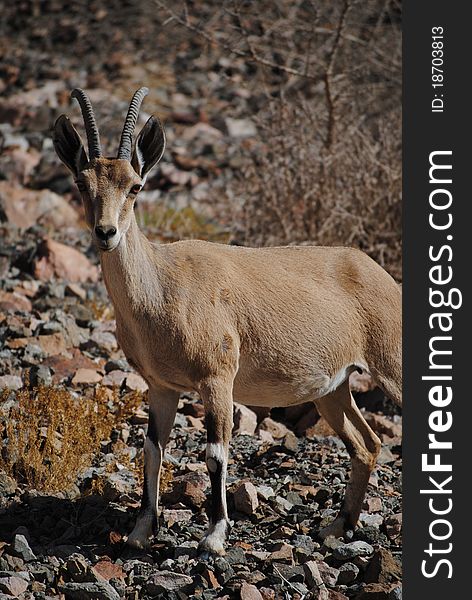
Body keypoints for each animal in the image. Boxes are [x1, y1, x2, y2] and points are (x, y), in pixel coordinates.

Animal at [54, 86, 402, 556]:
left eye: (135, 186)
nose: (106, 233)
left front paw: (215, 536)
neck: (163, 287)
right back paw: (336, 526)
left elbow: (215, 453)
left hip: (392, 368)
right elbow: (152, 449)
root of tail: (375, 270)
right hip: (333, 388)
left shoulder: (217, 379)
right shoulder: (161, 387)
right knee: (366, 444)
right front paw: (141, 531)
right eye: (81, 183)